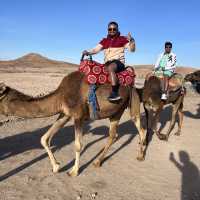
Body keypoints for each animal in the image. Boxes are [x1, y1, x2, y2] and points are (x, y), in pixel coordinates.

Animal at [0, 70, 145, 177]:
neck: (61, 96)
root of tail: (132, 86)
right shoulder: (65, 114)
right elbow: (44, 138)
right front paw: (56, 167)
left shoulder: (78, 116)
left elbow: (78, 145)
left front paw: (74, 171)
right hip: (116, 112)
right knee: (116, 135)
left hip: (127, 105)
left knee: (138, 128)